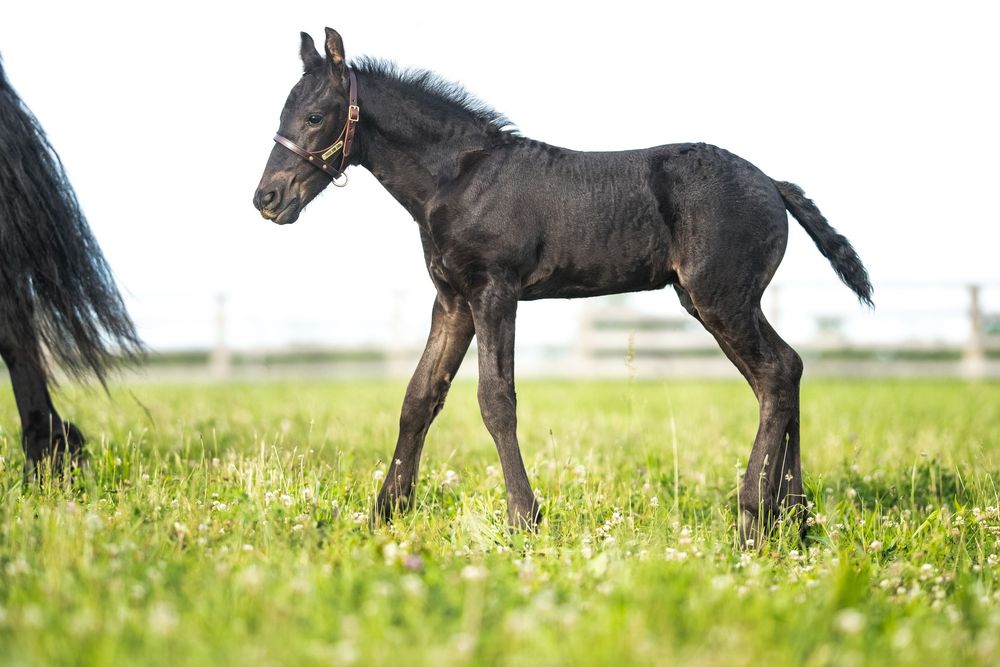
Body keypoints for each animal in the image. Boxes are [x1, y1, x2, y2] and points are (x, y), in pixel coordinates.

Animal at [253, 29, 873, 545]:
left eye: (315, 115)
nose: (267, 198)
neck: (459, 178)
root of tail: (771, 183)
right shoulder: (452, 302)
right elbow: (419, 396)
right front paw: (385, 513)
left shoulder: (493, 292)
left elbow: (495, 400)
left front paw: (523, 518)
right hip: (726, 300)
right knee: (788, 368)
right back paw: (794, 516)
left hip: (719, 298)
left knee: (774, 375)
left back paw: (753, 518)